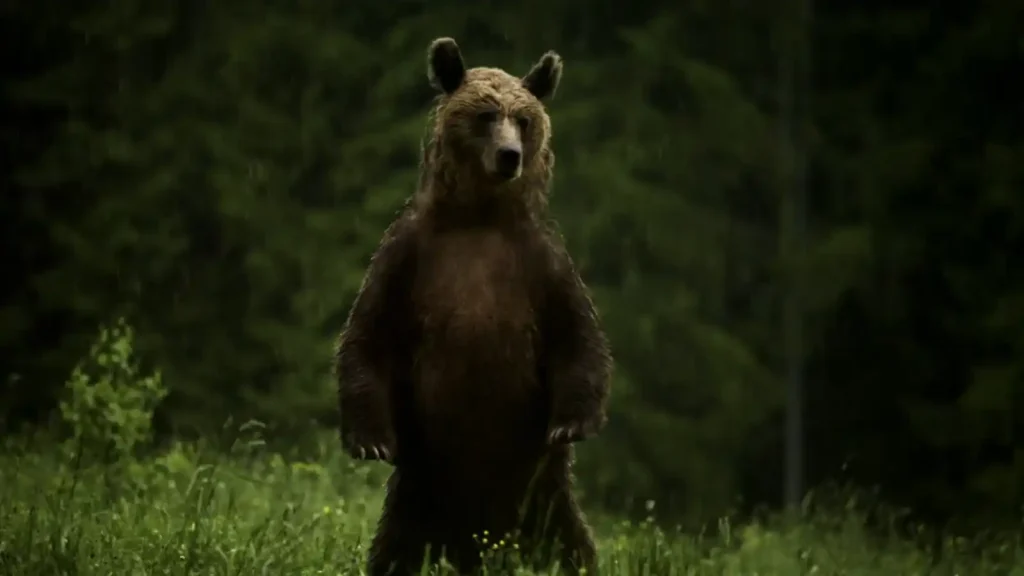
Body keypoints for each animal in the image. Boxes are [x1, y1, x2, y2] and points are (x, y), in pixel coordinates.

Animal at [334, 37, 612, 576]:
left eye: (523, 118)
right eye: (485, 114)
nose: (510, 156)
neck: (480, 217)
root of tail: (481, 545)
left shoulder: (540, 264)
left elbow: (578, 337)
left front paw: (571, 423)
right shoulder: (409, 256)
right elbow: (367, 336)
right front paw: (371, 439)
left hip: (542, 496)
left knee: (571, 545)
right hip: (421, 491)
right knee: (395, 550)